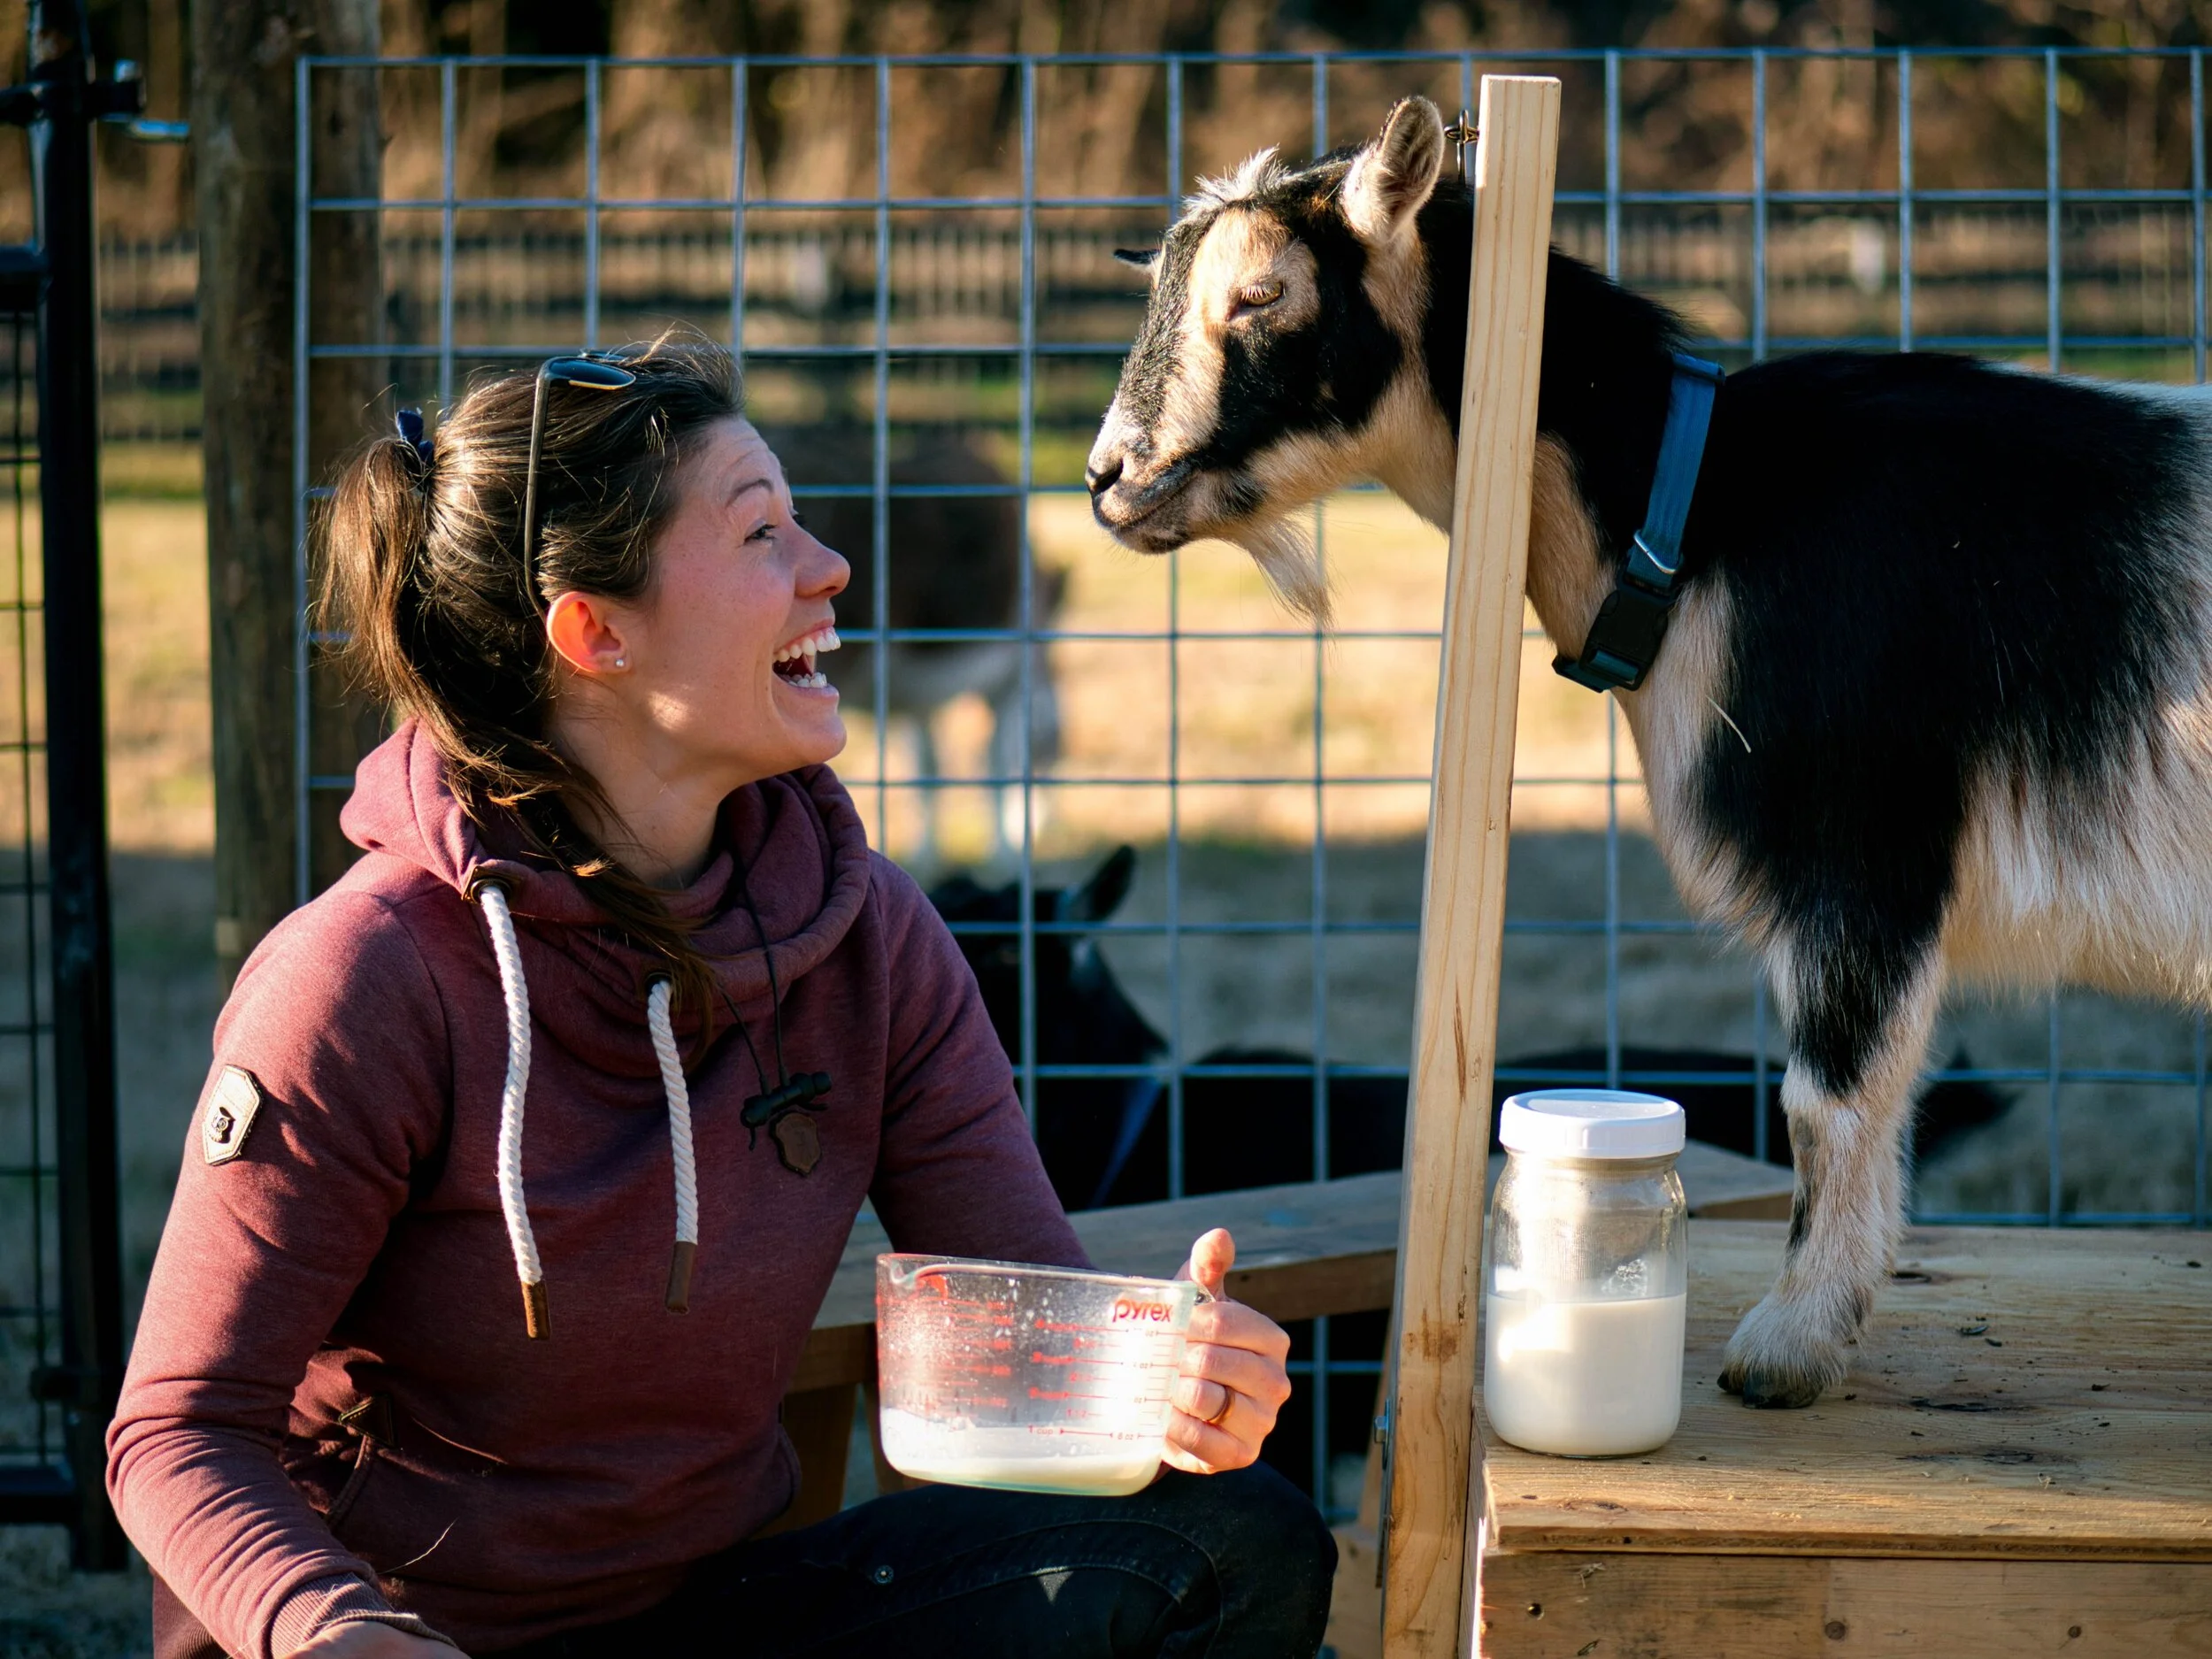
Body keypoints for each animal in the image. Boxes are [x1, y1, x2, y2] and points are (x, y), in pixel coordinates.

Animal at [1080, 95, 2211, 1406]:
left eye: (1261, 295)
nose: (1107, 480)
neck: (1705, 517)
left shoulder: (1859, 839)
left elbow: (1827, 1096)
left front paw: (1787, 1344)